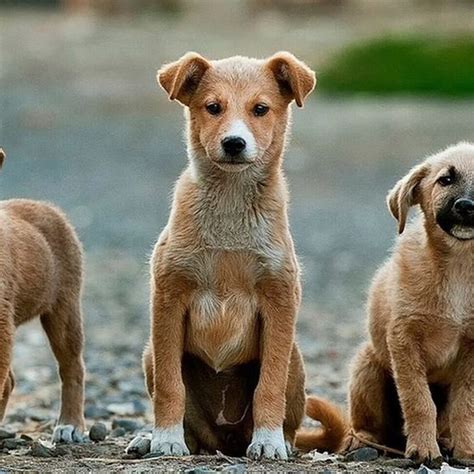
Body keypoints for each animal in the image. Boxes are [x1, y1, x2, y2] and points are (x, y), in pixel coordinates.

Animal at [128, 51, 316, 460]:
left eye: (260, 109)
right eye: (213, 107)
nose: (233, 143)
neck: (230, 206)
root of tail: (225, 440)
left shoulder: (280, 300)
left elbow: (269, 385)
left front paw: (268, 441)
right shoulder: (168, 298)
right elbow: (170, 385)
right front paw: (165, 438)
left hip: (295, 358)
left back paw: (279, 440)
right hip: (150, 352)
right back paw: (151, 438)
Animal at [296, 143, 474, 464]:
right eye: (445, 180)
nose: (467, 206)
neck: (458, 268)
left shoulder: (471, 349)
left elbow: (464, 407)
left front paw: (466, 450)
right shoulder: (404, 339)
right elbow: (418, 400)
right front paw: (424, 449)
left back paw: (446, 441)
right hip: (367, 366)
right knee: (364, 426)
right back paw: (363, 443)